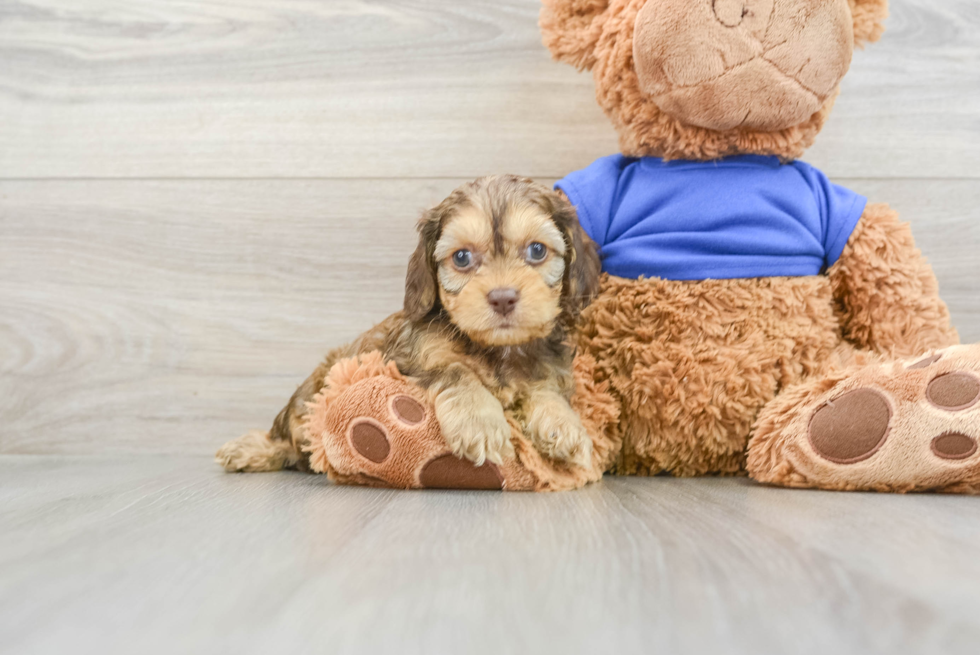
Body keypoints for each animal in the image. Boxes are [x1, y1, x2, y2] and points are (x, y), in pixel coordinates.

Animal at [218, 177, 600, 474]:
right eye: (462, 257)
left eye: (537, 250)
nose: (503, 298)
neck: (498, 350)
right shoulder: (405, 359)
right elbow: (457, 371)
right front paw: (481, 423)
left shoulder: (547, 370)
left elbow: (546, 391)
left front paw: (565, 427)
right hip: (310, 394)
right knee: (287, 437)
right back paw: (251, 450)